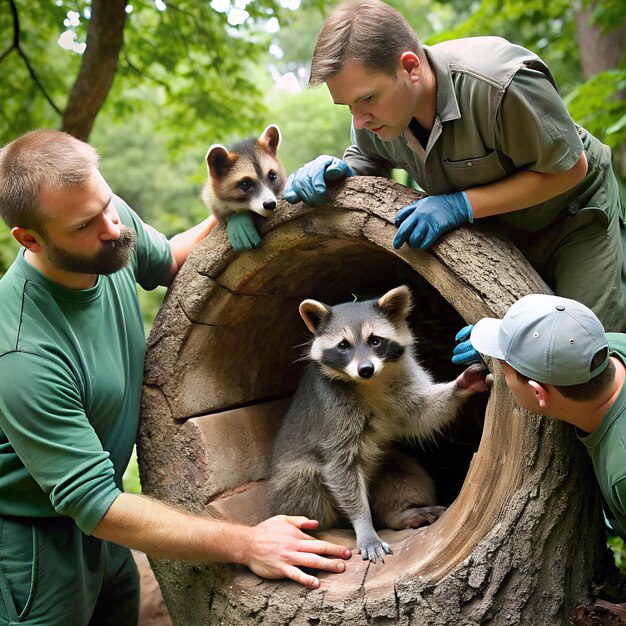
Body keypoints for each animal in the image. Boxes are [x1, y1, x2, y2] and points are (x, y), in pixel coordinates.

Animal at [266, 286, 490, 564]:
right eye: (343, 346)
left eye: (375, 341)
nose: (365, 369)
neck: (370, 383)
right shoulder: (333, 413)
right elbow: (340, 467)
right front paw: (364, 526)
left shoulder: (402, 380)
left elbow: (421, 411)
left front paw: (461, 385)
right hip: (285, 491)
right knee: (304, 478)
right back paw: (322, 528)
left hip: (390, 465)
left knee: (401, 469)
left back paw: (399, 513)